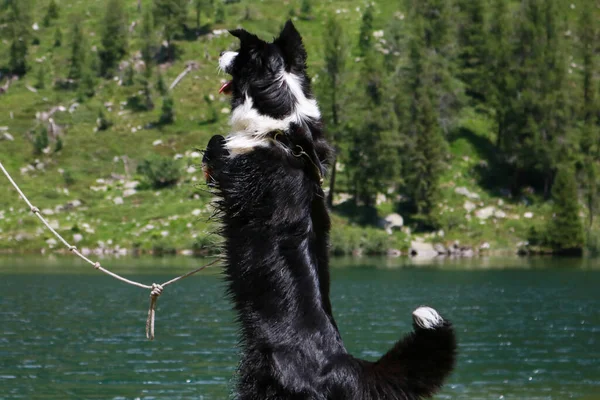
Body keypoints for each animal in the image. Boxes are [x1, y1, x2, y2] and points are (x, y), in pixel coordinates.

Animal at [204, 21, 458, 400]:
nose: (219, 52)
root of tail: (344, 366)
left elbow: (219, 146)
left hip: (260, 380)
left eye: (240, 54)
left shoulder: (242, 178)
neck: (284, 126)